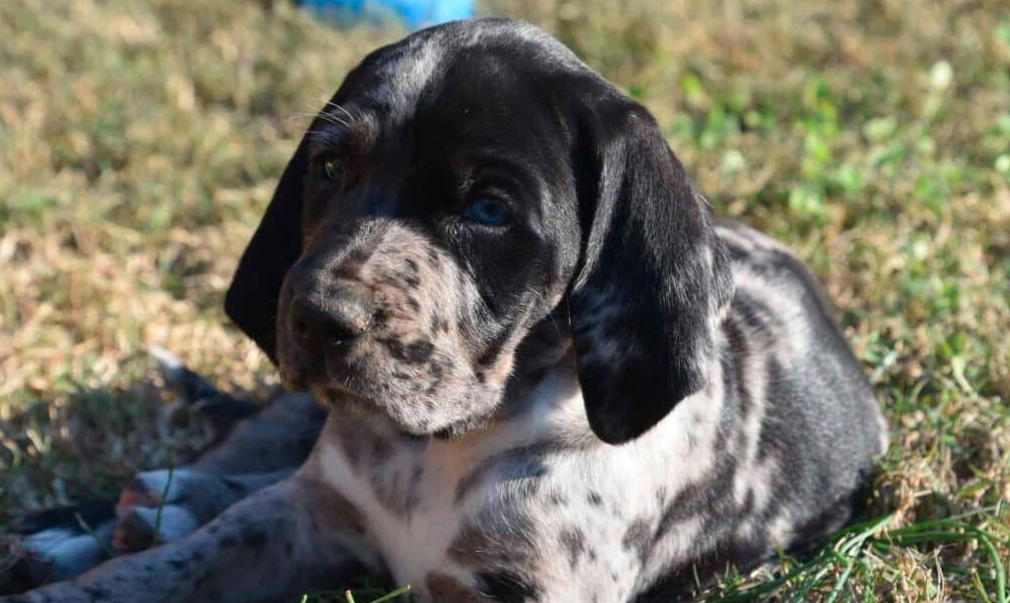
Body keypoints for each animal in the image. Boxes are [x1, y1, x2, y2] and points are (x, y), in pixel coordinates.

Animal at [1, 17, 884, 601]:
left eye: (489, 209)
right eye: (329, 167)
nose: (317, 316)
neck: (443, 444)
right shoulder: (298, 516)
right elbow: (167, 567)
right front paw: (80, 579)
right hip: (283, 424)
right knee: (224, 469)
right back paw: (96, 526)